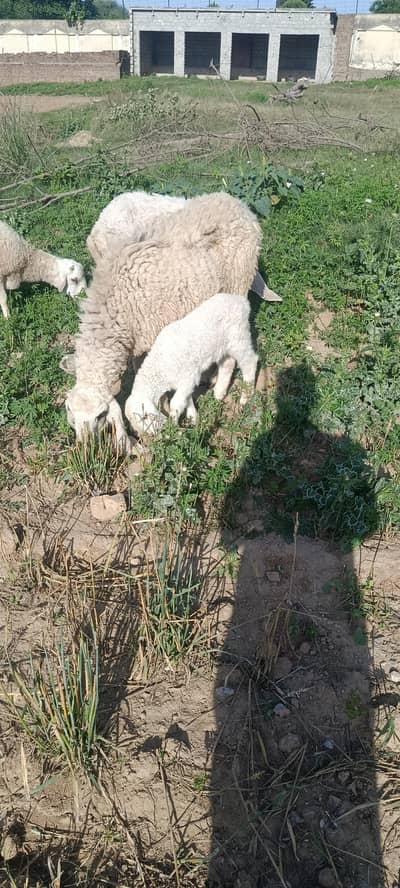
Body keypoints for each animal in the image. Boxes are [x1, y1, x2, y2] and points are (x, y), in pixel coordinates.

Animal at [125, 292, 258, 436]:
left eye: (144, 416)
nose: (155, 433)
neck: (160, 366)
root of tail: (242, 302)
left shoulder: (188, 376)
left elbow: (175, 403)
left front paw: (173, 425)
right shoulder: (185, 382)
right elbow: (186, 400)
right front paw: (193, 419)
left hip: (238, 338)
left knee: (250, 361)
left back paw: (246, 397)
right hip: (223, 346)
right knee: (228, 363)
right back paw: (219, 393)